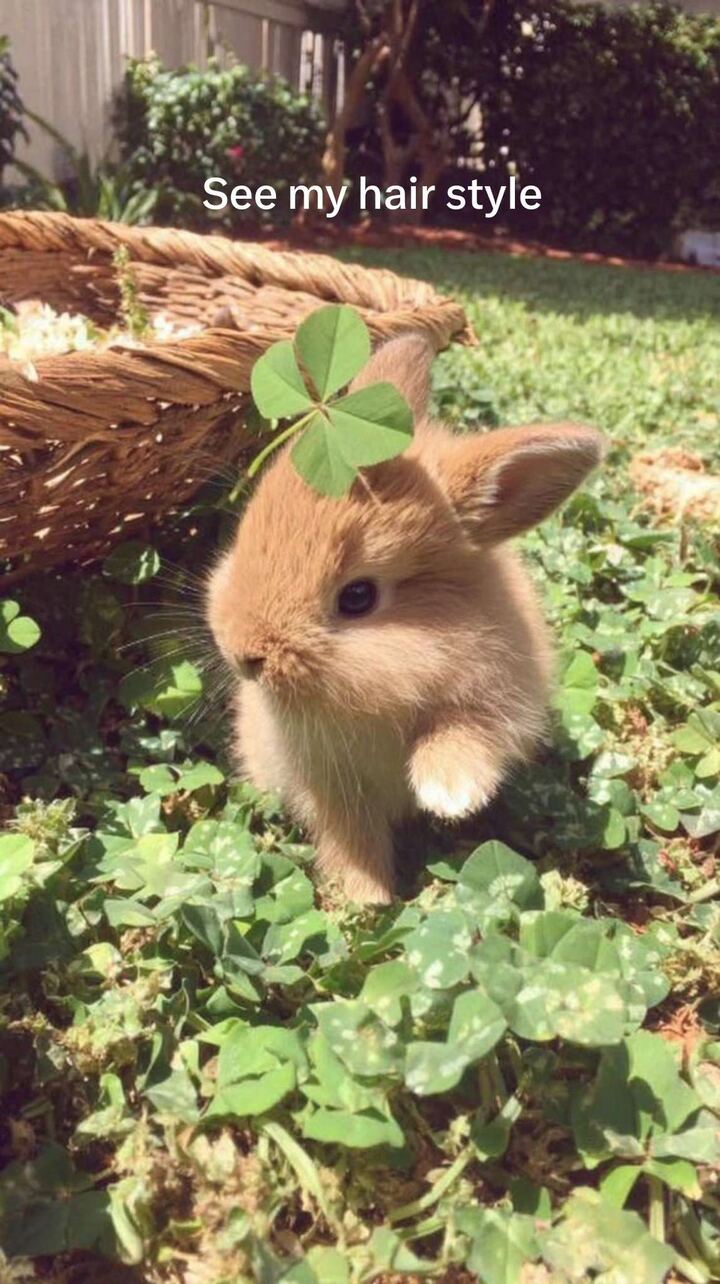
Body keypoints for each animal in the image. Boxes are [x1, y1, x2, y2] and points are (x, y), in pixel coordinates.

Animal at [206, 335, 605, 904]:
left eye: (358, 597)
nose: (243, 654)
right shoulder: (333, 790)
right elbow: (350, 840)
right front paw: (368, 899)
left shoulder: (496, 701)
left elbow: (465, 731)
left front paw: (449, 792)